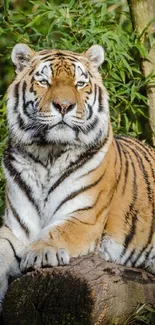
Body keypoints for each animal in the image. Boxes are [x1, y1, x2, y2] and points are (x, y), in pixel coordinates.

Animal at [0, 43, 154, 308]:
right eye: (44, 81)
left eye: (80, 83)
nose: (64, 106)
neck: (47, 154)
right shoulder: (18, 228)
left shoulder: (83, 217)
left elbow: (56, 231)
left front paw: (40, 253)